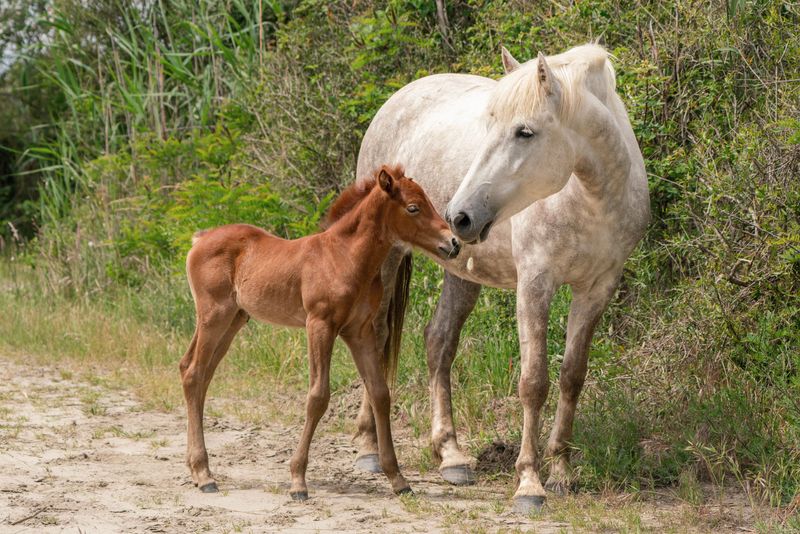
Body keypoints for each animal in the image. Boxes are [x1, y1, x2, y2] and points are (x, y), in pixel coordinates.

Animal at [178, 165, 461, 500]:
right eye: (414, 207)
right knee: (194, 373)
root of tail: (200, 238)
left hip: (233, 319)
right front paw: (297, 480)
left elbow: (379, 394)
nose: (454, 243)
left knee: (195, 373)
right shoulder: (320, 325)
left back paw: (196, 469)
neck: (344, 257)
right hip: (214, 316)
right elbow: (317, 396)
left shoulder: (359, 331)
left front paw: (397, 479)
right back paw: (204, 474)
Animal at [353, 44, 650, 513]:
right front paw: (529, 482)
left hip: (462, 275)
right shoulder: (535, 284)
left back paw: (451, 456)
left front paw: (562, 472)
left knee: (439, 342)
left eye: (524, 132)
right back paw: (368, 449)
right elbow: (533, 382)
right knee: (377, 337)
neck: (590, 198)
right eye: (489, 125)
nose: (458, 216)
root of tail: (397, 100)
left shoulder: (597, 289)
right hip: (386, 260)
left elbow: (572, 377)